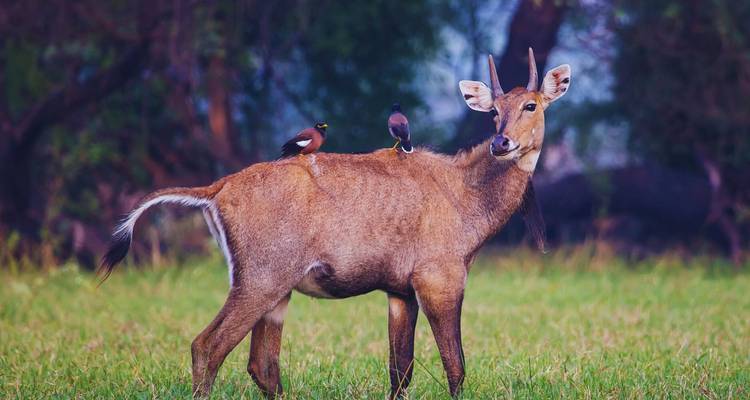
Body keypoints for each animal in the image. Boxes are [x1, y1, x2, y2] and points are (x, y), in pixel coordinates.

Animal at [99, 47, 571, 399]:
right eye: (493, 112)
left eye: (531, 105)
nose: (501, 142)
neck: (464, 193)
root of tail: (217, 189)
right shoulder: (440, 279)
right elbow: (455, 366)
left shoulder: (400, 291)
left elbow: (400, 370)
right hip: (260, 280)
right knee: (208, 346)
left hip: (276, 291)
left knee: (261, 364)